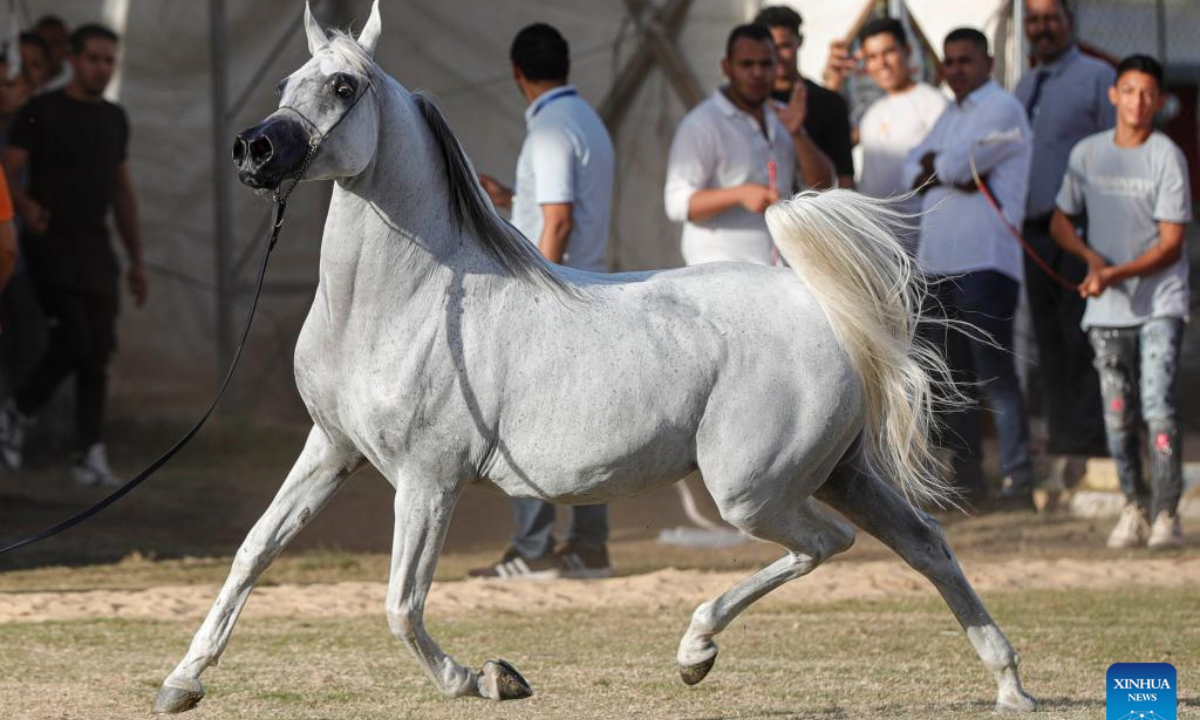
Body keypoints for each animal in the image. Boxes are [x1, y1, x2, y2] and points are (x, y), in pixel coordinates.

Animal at [153, 2, 1036, 714]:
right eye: (286, 82)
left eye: (342, 88)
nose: (253, 151)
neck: (409, 303)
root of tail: (823, 309)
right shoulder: (332, 450)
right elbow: (253, 552)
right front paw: (181, 682)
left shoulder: (428, 479)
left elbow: (402, 605)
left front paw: (491, 679)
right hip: (841, 473)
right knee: (927, 545)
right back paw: (1010, 687)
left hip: (753, 491)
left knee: (826, 546)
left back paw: (695, 651)